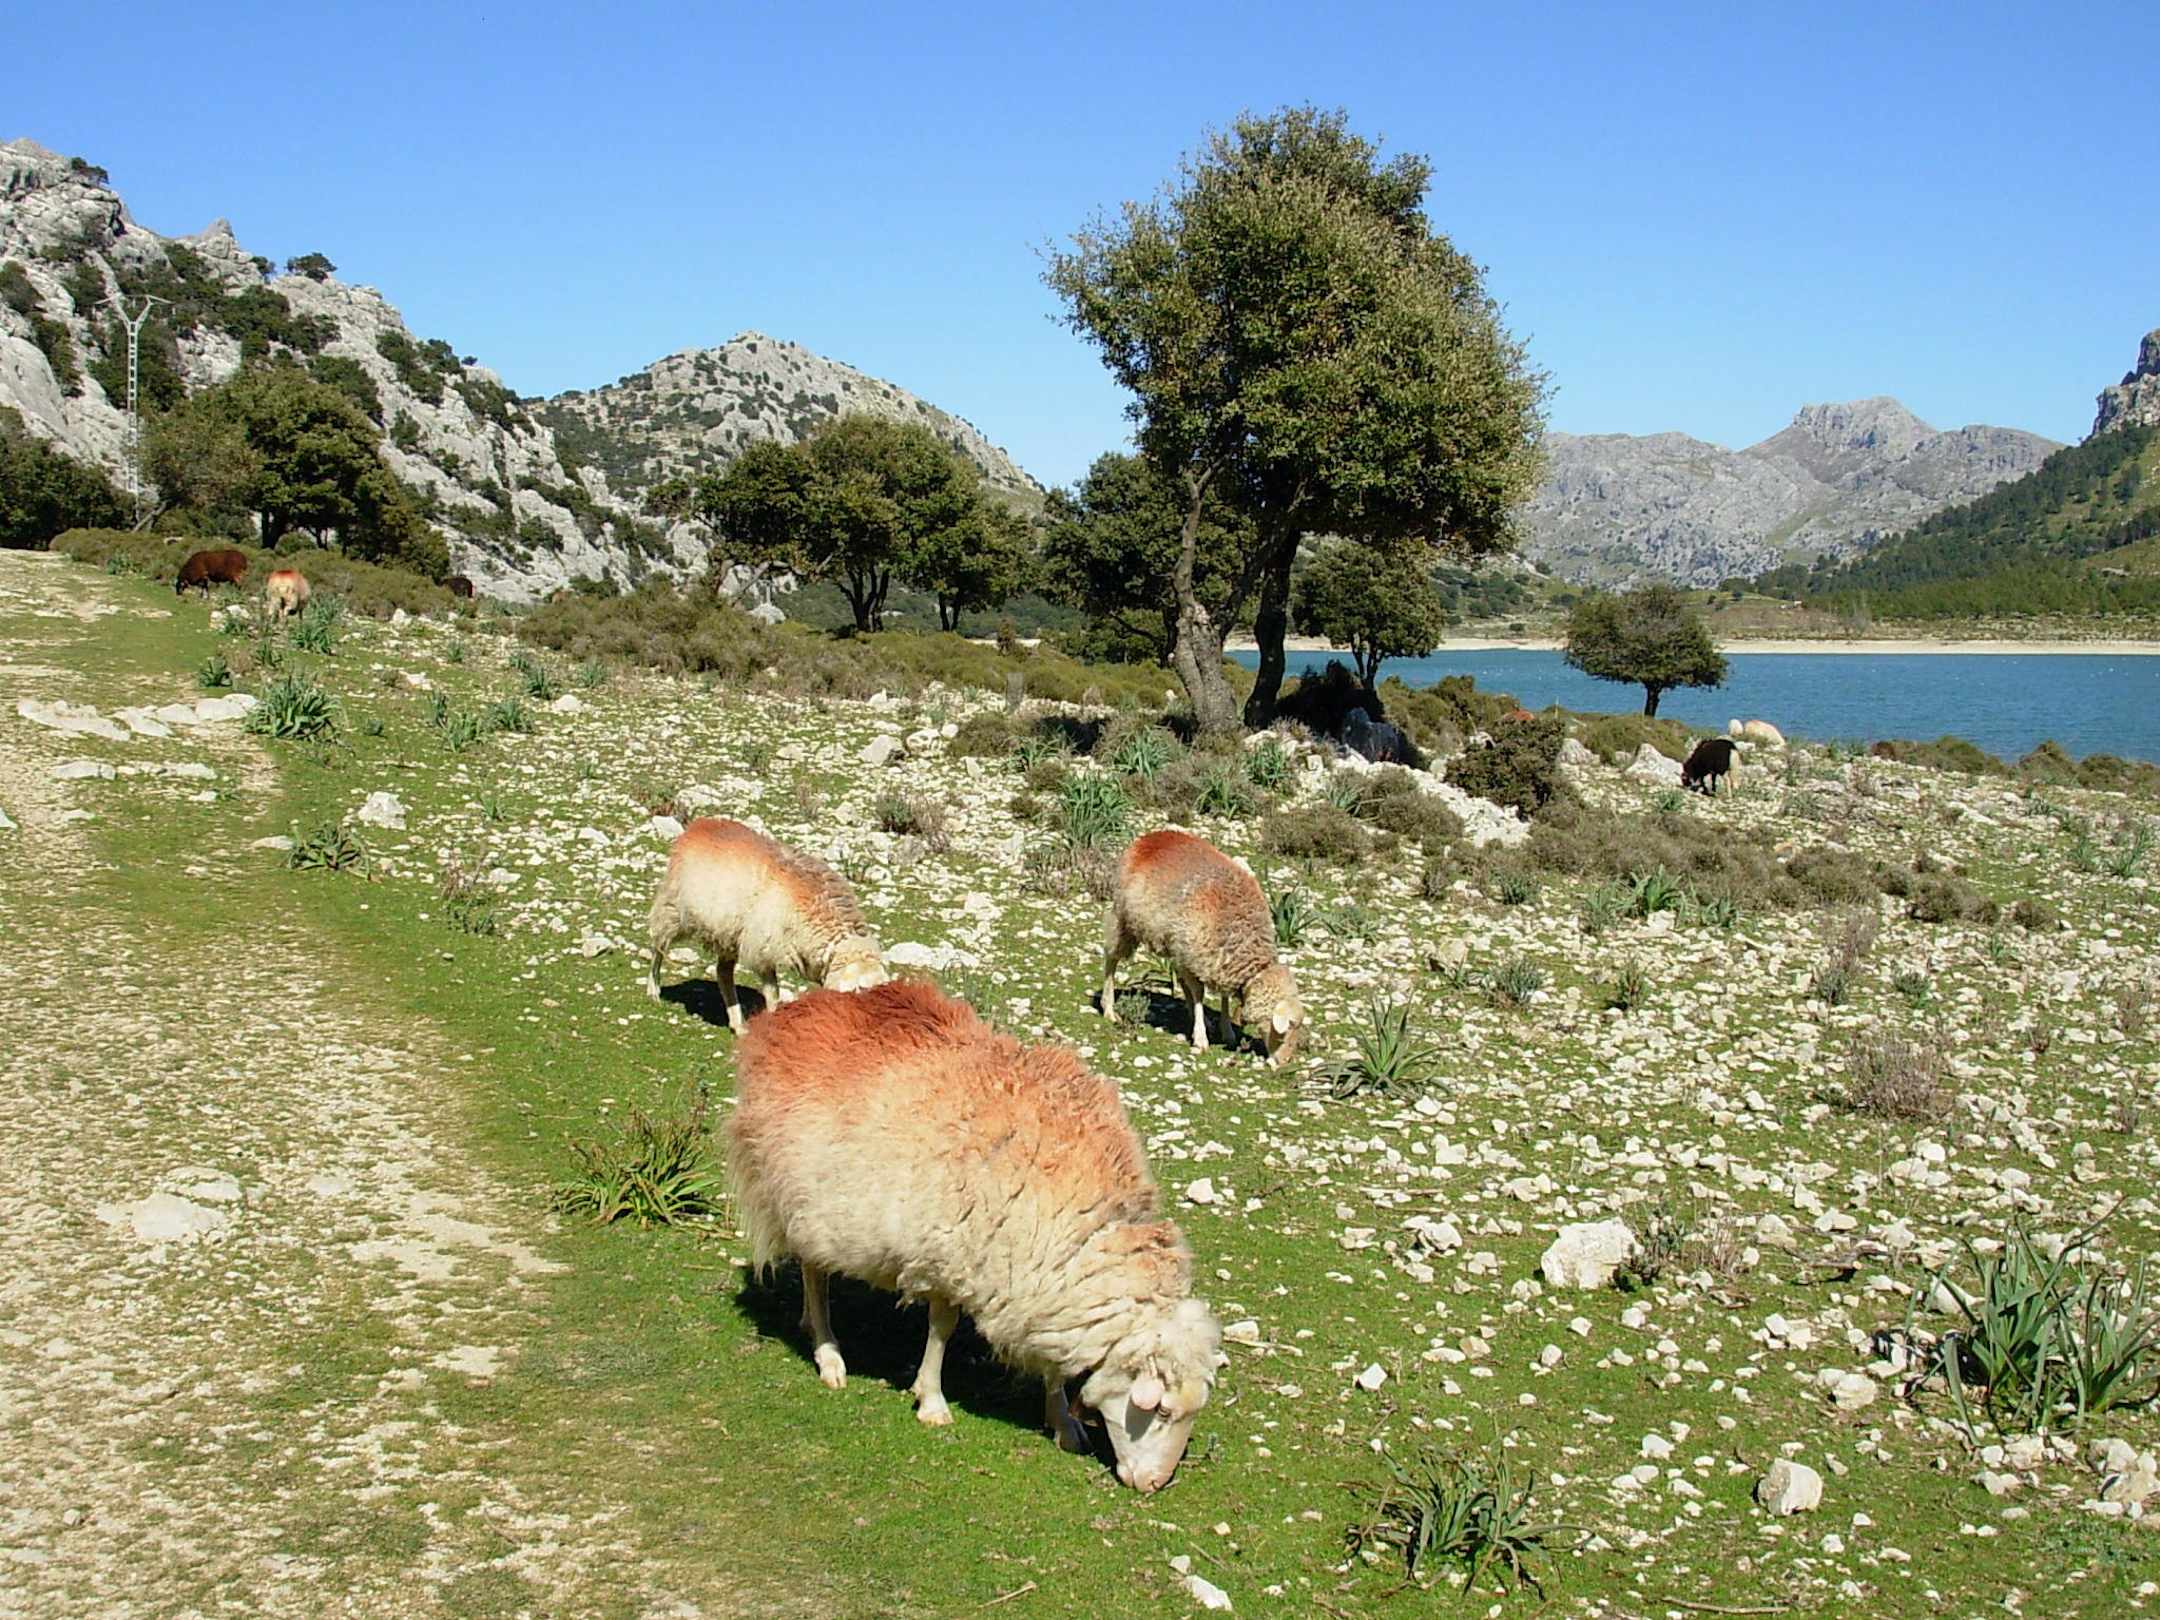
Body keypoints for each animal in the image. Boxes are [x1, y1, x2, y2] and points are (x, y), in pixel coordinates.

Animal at [646, 817, 886, 1029]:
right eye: (859, 990)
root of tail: (700, 824)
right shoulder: (764, 947)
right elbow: (773, 992)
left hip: (729, 933)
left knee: (723, 973)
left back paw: (738, 1023)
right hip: (673, 909)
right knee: (658, 946)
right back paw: (653, 989)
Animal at [730, 980, 1223, 1491]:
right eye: (1161, 1410)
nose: (1154, 1485)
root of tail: (790, 1014)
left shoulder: (1042, 1284)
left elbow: (1053, 1365)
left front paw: (1063, 1421)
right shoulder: (953, 1258)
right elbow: (941, 1330)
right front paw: (931, 1400)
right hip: (804, 1197)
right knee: (814, 1272)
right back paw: (828, 1353)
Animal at [1100, 828, 1304, 1066]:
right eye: (1287, 1028)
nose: (1285, 1062)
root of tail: (1152, 836)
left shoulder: (1215, 962)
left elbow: (1223, 997)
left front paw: (1226, 1030)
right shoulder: (1196, 956)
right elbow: (1199, 993)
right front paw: (1200, 1037)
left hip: (1173, 944)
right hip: (1124, 919)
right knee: (1111, 958)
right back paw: (1109, 1008)